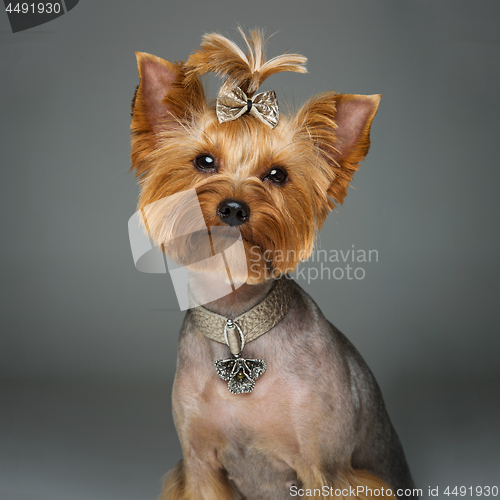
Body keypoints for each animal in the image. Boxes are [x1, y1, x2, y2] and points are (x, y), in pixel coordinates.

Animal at [129, 29, 414, 500]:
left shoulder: (326, 472)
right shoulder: (199, 465)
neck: (237, 323)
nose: (233, 208)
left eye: (277, 175)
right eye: (204, 161)